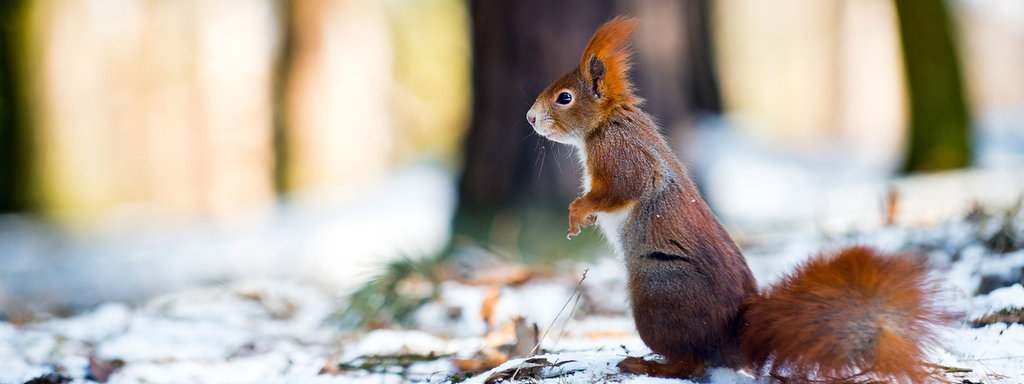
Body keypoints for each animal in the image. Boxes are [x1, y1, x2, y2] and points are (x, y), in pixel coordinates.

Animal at [528, 16, 950, 382]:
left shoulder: (622, 156)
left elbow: (621, 189)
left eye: (564, 97)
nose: (530, 118)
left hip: (657, 297)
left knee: (691, 363)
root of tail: (732, 340)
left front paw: (577, 212)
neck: (606, 122)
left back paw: (645, 365)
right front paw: (583, 218)